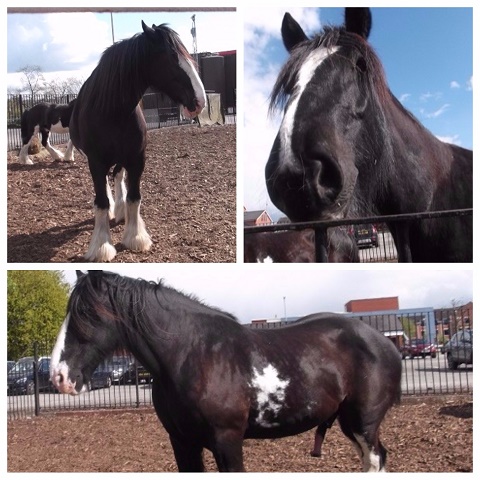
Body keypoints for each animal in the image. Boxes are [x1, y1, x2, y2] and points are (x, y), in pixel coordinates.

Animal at [49, 270, 402, 472]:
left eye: (86, 313)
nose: (58, 376)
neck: (192, 354)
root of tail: (384, 343)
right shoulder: (183, 443)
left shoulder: (227, 441)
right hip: (348, 422)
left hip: (364, 422)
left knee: (375, 459)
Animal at [69, 21, 206, 262]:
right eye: (172, 57)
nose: (200, 101)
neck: (112, 111)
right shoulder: (96, 161)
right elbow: (101, 202)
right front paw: (101, 246)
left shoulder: (137, 158)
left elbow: (134, 197)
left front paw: (135, 237)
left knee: (117, 176)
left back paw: (120, 210)